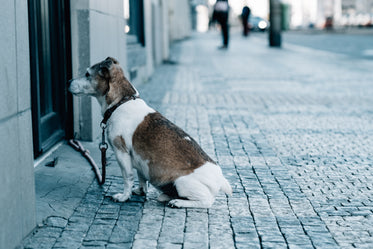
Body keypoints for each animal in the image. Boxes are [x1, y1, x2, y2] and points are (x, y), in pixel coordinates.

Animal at [67, 57, 230, 208]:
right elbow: (141, 178)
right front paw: (140, 191)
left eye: (87, 74)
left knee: (206, 201)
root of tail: (220, 179)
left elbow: (128, 178)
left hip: (182, 183)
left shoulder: (122, 153)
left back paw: (178, 202)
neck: (120, 103)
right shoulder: (139, 159)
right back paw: (166, 196)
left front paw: (124, 196)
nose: (68, 81)